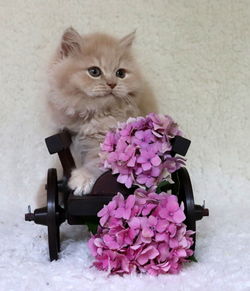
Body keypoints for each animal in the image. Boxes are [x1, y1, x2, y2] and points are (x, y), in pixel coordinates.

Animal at [46, 27, 144, 196]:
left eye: (120, 73)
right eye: (94, 71)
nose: (112, 84)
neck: (93, 114)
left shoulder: (110, 144)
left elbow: (98, 163)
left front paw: (81, 180)